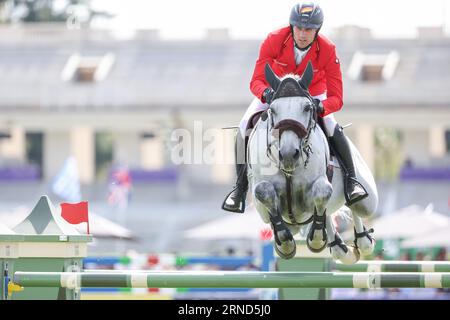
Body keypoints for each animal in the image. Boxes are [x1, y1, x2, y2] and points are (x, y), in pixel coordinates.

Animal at [248, 61, 378, 264]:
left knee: (355, 206)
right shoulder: (262, 202)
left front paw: (316, 239)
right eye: (272, 110)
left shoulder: (315, 192)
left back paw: (362, 239)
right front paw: (285, 243)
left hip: (369, 201)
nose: (288, 154)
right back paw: (340, 246)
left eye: (307, 108)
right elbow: (264, 192)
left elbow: (322, 192)